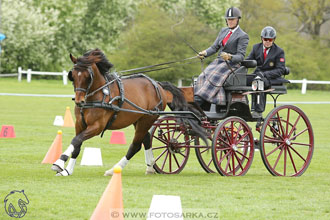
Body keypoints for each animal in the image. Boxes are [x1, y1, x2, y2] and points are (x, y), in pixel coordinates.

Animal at [51, 49, 206, 176]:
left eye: (88, 76)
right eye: (73, 75)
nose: (79, 101)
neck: (98, 95)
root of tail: (158, 85)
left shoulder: (97, 127)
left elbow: (76, 140)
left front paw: (59, 162)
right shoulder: (80, 124)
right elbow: (77, 144)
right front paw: (67, 170)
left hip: (147, 119)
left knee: (136, 145)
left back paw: (114, 169)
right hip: (139, 119)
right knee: (146, 139)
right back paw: (150, 167)